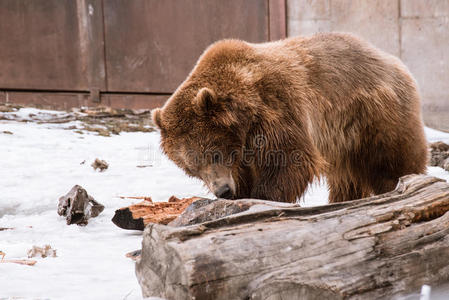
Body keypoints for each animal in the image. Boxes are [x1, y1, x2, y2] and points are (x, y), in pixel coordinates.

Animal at [151, 32, 428, 203]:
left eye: (215, 154)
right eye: (192, 168)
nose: (223, 191)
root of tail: (391, 59)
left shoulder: (277, 107)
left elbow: (289, 160)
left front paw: (262, 197)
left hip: (375, 115)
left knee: (392, 162)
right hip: (342, 140)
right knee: (346, 178)